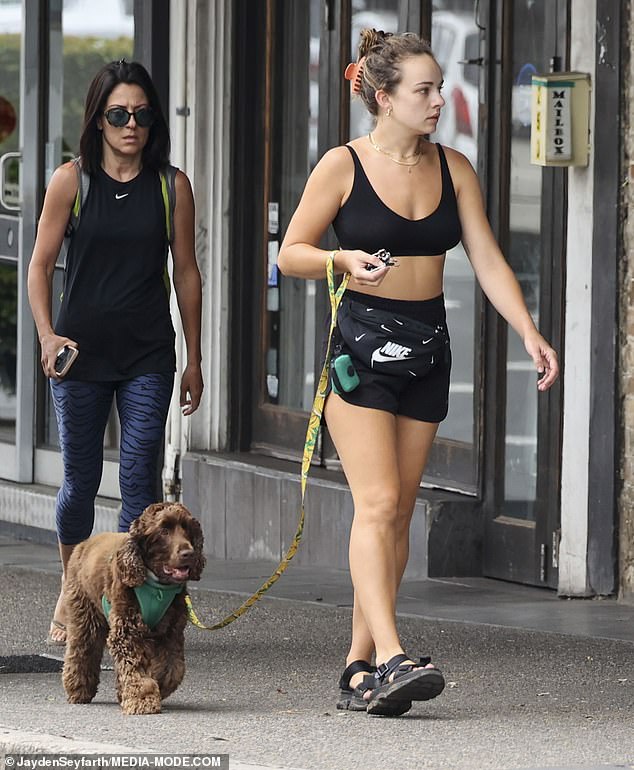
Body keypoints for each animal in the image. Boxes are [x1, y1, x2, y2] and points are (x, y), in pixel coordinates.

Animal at [62, 500, 205, 712]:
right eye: (164, 531)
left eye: (187, 528)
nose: (189, 553)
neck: (157, 586)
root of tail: (83, 544)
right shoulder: (127, 631)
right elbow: (135, 669)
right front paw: (142, 699)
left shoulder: (171, 632)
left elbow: (173, 669)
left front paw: (156, 688)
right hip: (85, 613)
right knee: (82, 650)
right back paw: (78, 690)